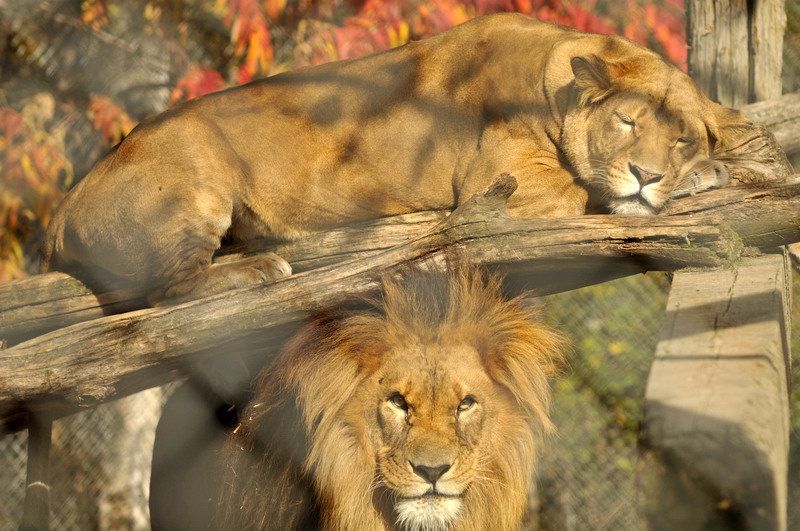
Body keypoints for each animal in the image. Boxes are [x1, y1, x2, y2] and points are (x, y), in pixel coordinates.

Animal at [41, 13, 788, 304]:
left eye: (679, 137)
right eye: (628, 122)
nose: (649, 172)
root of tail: (66, 203)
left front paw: (725, 159)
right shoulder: (505, 192)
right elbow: (592, 191)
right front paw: (706, 176)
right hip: (195, 172)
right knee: (163, 290)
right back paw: (256, 270)